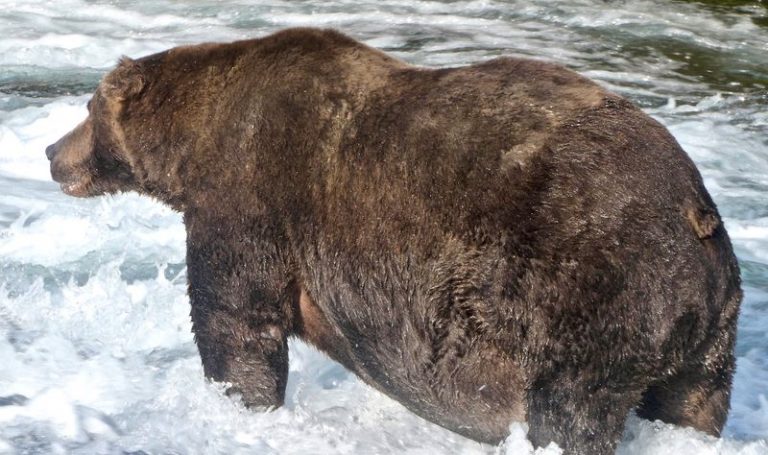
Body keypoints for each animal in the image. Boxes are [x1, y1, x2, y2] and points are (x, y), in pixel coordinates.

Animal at [45, 28, 741, 455]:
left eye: (87, 108)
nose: (52, 153)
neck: (190, 146)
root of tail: (696, 213)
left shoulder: (250, 193)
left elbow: (236, 319)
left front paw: (239, 403)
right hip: (705, 331)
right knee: (692, 402)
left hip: (589, 290)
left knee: (570, 410)